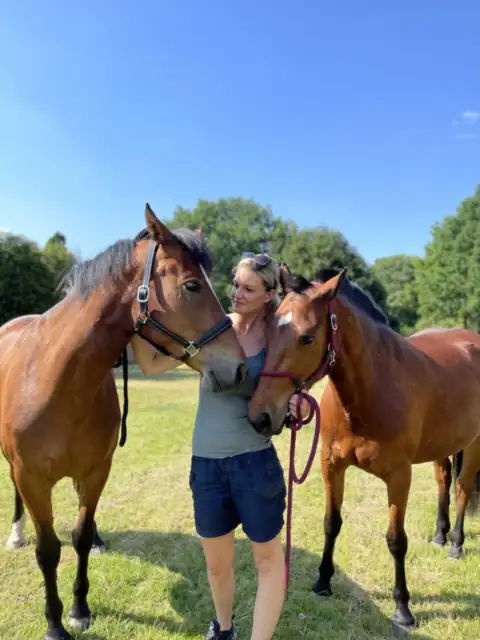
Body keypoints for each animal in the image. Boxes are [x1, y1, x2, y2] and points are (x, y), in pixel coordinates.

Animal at [0, 203, 246, 640]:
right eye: (192, 286)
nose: (238, 368)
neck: (57, 380)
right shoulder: (31, 477)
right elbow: (48, 550)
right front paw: (55, 624)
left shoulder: (98, 469)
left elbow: (79, 537)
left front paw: (79, 609)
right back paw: (15, 534)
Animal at [248, 268, 480, 631]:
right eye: (268, 331)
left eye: (307, 338)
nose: (260, 416)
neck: (369, 392)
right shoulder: (331, 466)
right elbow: (331, 523)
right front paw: (323, 581)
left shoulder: (399, 477)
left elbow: (396, 540)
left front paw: (402, 609)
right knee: (444, 480)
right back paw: (440, 536)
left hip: (473, 444)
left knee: (462, 487)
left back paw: (456, 544)